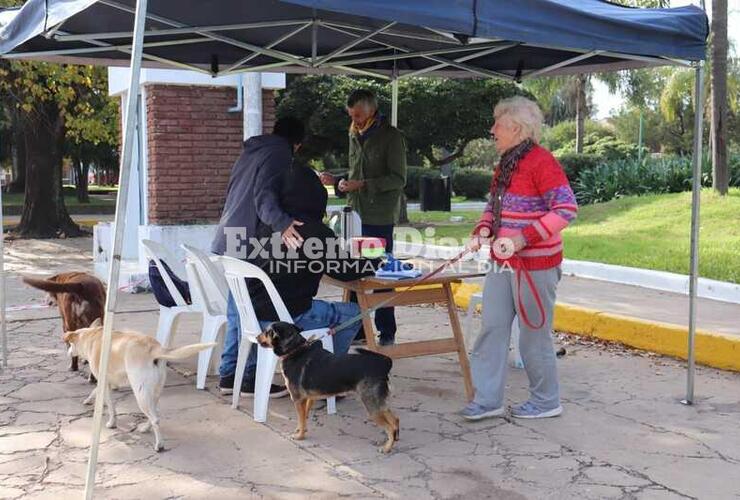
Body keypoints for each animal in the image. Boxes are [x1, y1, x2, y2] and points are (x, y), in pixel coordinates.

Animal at [64, 320, 215, 454]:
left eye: (70, 344)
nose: (68, 352)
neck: (91, 337)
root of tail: (154, 347)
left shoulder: (104, 383)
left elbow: (111, 408)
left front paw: (112, 423)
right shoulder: (107, 382)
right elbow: (95, 391)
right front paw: (88, 400)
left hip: (140, 394)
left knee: (155, 418)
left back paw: (159, 445)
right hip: (153, 393)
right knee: (155, 413)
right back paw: (146, 428)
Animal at [258, 320, 402, 454]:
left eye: (266, 332)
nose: (256, 337)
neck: (295, 350)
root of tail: (383, 365)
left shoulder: (298, 400)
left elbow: (301, 418)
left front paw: (300, 436)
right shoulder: (309, 398)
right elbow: (303, 418)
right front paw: (301, 430)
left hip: (372, 406)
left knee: (389, 426)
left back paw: (387, 448)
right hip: (378, 404)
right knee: (395, 420)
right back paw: (394, 439)